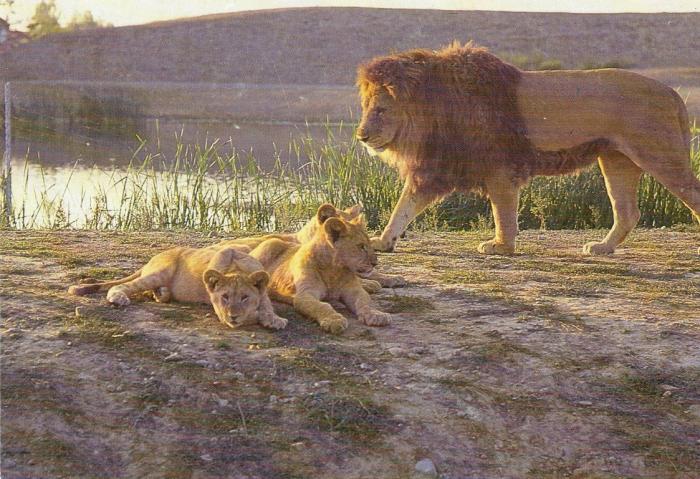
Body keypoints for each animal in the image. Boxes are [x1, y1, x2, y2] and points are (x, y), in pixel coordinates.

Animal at [68, 245, 288, 330]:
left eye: (244, 297)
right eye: (225, 297)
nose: (233, 316)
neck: (237, 269)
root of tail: (152, 258)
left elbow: (266, 304)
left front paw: (273, 317)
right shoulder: (218, 309)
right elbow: (252, 314)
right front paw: (265, 318)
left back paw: (161, 294)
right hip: (159, 272)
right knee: (123, 286)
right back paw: (119, 297)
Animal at [249, 204, 393, 334]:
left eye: (370, 244)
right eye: (361, 246)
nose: (375, 263)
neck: (334, 270)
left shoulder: (354, 290)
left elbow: (365, 302)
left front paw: (376, 315)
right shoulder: (305, 294)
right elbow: (322, 306)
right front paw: (334, 320)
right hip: (269, 245)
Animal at [356, 42, 700, 255]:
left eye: (381, 110)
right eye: (365, 107)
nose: (361, 135)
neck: (434, 109)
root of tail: (672, 92)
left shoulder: (499, 167)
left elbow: (503, 212)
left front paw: (501, 247)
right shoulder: (435, 169)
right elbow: (403, 206)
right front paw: (383, 242)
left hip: (661, 155)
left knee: (690, 194)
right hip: (616, 159)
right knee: (627, 211)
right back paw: (602, 247)